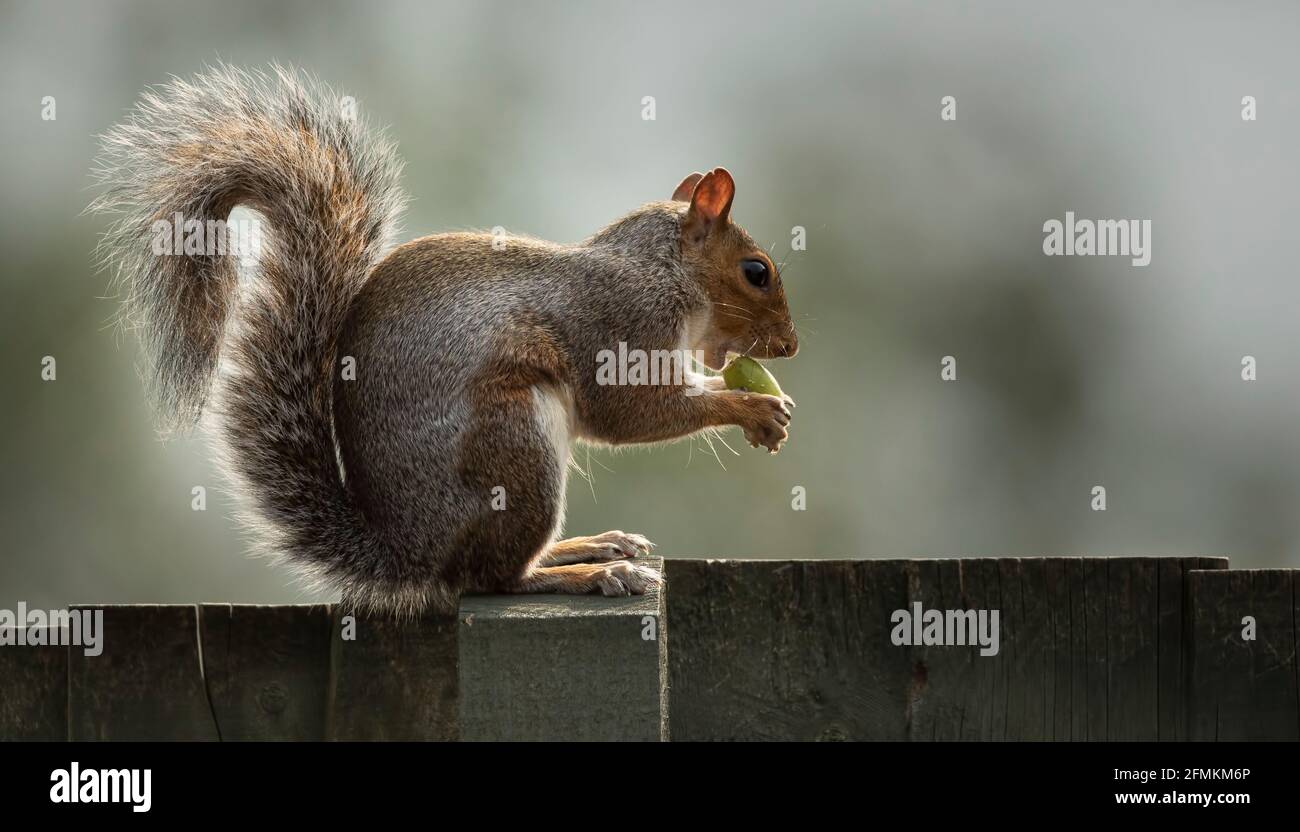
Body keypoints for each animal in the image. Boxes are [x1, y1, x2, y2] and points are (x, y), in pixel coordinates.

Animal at [91, 65, 798, 616]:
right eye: (756, 271)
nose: (789, 345)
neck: (664, 271)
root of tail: (409, 550)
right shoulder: (621, 325)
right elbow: (634, 411)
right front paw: (755, 409)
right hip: (514, 445)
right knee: (492, 579)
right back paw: (591, 571)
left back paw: (590, 546)